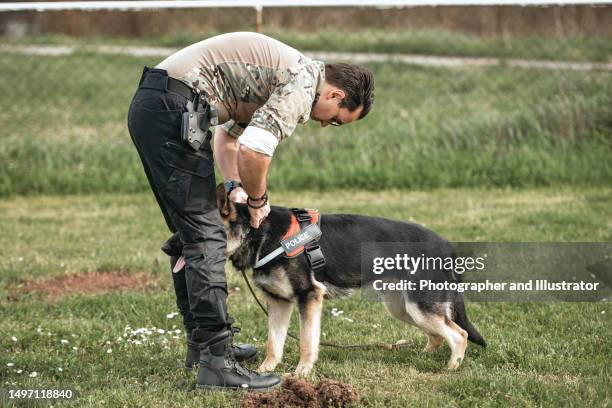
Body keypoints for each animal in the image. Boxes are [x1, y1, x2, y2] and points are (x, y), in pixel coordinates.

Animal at [218, 186, 486, 376]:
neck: (257, 232)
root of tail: (446, 246)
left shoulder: (309, 297)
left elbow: (307, 341)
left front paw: (302, 373)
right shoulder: (279, 303)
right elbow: (274, 342)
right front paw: (264, 372)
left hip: (419, 307)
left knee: (459, 335)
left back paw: (450, 369)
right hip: (403, 308)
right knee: (440, 334)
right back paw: (423, 356)